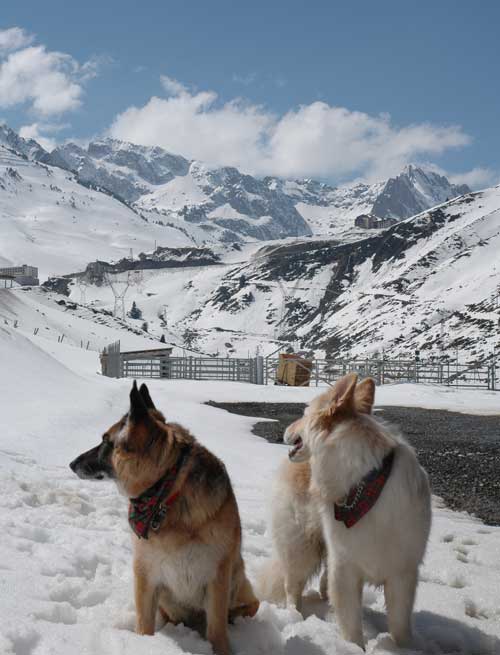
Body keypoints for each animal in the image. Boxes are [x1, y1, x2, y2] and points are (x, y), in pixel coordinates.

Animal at [69, 382, 258, 652]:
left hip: (239, 584)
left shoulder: (217, 577)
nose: (72, 464)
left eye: (105, 441)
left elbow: (217, 630)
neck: (167, 490)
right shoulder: (146, 575)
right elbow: (144, 624)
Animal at [282, 374, 434, 652]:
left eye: (304, 413)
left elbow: (399, 626)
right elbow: (351, 626)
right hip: (300, 546)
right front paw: (353, 648)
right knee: (293, 586)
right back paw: (293, 615)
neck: (364, 482)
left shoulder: (402, 574)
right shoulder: (345, 569)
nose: (286, 430)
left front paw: (403, 648)